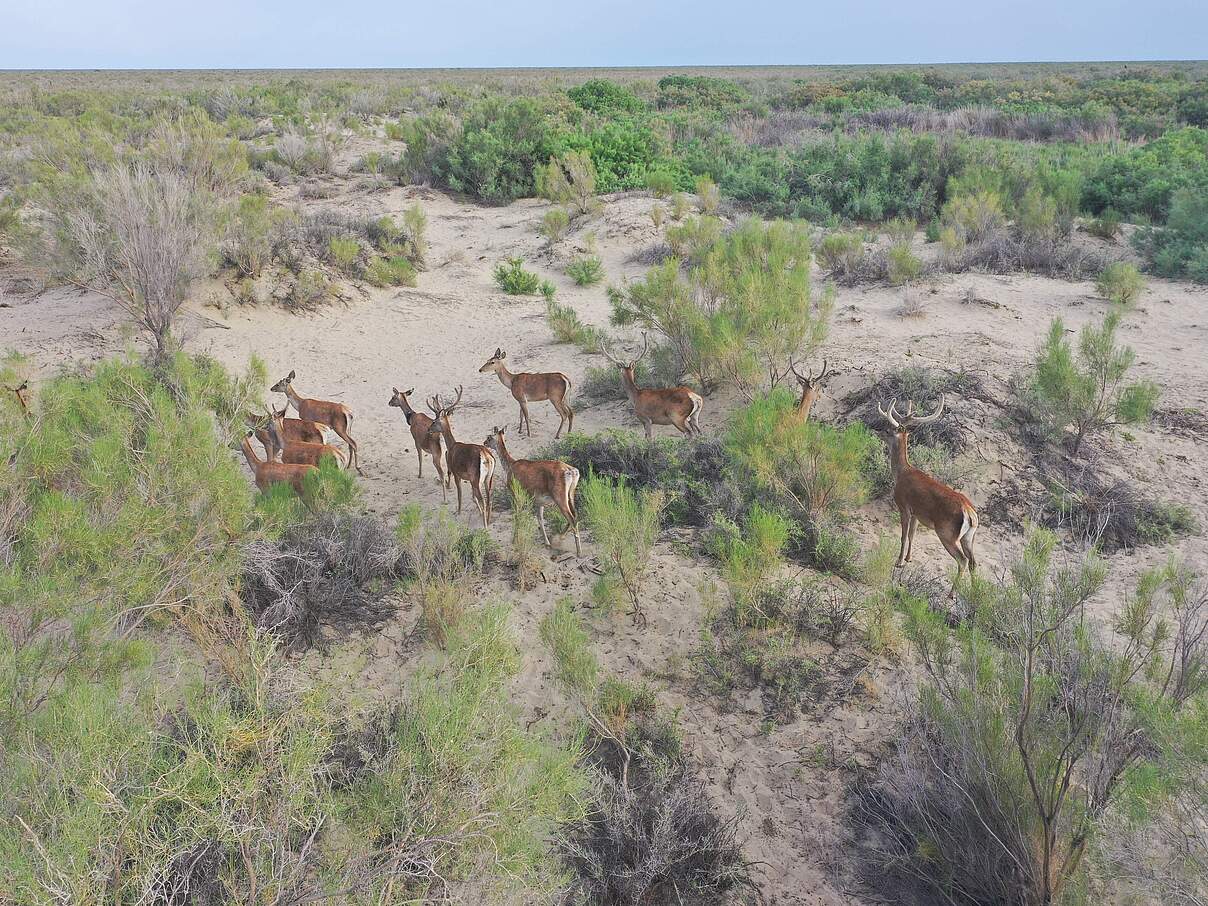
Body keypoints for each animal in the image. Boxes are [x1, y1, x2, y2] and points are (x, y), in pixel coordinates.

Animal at [427, 386, 497, 529]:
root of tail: (487, 457)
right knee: (489, 499)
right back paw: (488, 520)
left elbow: (460, 494)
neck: (452, 445)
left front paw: (458, 512)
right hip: (488, 478)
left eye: (434, 421)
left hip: (477, 478)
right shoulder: (468, 478)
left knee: (483, 500)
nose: (428, 430)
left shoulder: (456, 472)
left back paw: (485, 526)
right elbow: (472, 497)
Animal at [488, 422, 587, 558]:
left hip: (559, 496)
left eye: (489, 437)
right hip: (571, 493)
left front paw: (514, 540)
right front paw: (547, 543)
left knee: (572, 518)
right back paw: (559, 538)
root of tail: (572, 471)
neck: (509, 465)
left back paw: (579, 551)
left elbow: (518, 516)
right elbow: (540, 519)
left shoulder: (514, 493)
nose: (484, 443)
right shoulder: (539, 501)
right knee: (576, 515)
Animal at [879, 396, 980, 596]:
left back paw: (951, 594)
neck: (901, 473)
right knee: (973, 562)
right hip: (968, 537)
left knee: (963, 560)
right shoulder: (917, 513)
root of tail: (970, 513)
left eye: (888, 429)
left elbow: (903, 535)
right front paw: (908, 559)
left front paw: (898, 562)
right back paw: (974, 593)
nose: (877, 431)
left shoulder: (903, 506)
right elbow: (912, 535)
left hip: (946, 533)